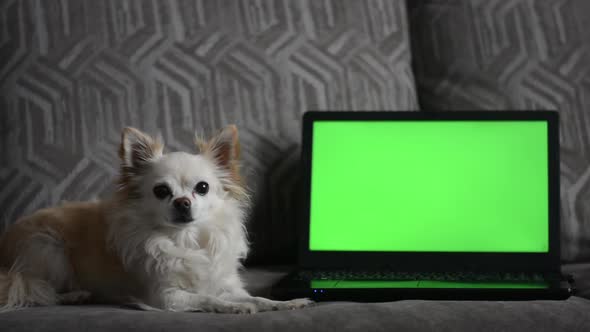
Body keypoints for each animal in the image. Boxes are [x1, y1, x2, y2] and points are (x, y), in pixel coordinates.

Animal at [0, 126, 314, 312]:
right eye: (161, 191)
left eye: (202, 187)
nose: (182, 202)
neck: (187, 241)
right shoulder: (166, 296)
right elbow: (208, 298)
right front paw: (233, 308)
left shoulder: (224, 284)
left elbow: (253, 297)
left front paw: (285, 303)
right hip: (47, 248)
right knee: (36, 288)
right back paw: (73, 295)